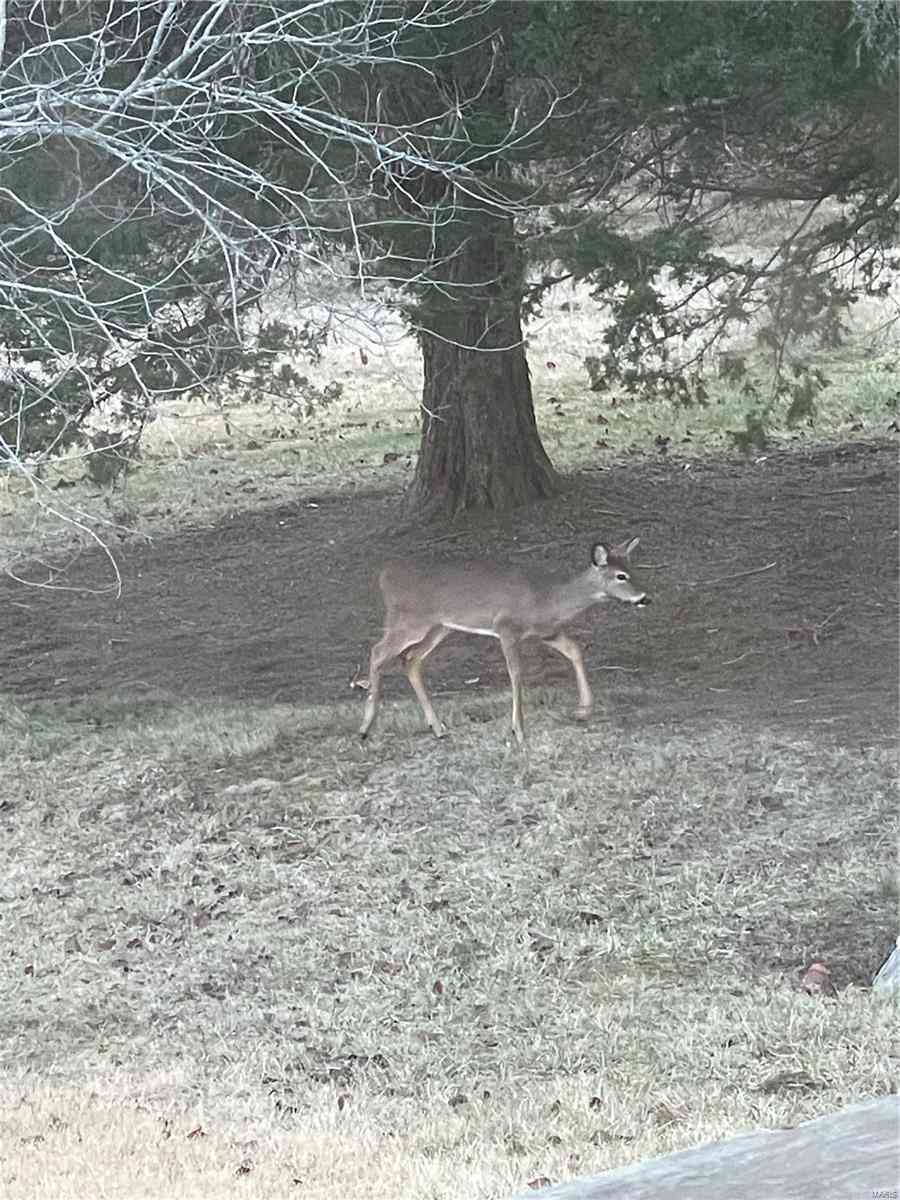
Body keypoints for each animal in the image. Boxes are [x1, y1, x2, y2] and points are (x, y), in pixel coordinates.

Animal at [357, 540, 648, 744]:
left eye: (633, 569)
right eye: (620, 576)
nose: (644, 597)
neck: (547, 600)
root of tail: (384, 574)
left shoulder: (546, 631)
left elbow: (575, 650)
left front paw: (584, 710)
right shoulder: (506, 627)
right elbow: (516, 673)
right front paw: (518, 730)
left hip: (439, 627)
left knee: (411, 659)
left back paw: (438, 728)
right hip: (408, 620)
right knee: (378, 651)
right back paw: (365, 727)